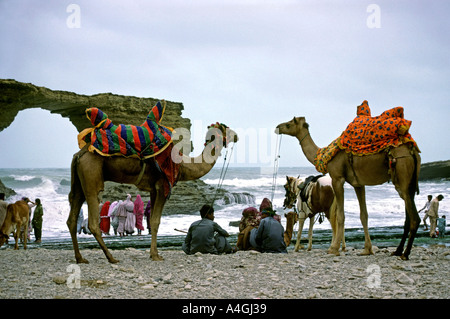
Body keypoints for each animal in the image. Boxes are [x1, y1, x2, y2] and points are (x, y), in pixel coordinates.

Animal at [67, 101, 239, 264]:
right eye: (225, 127)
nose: (236, 135)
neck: (183, 164)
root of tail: (79, 154)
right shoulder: (163, 185)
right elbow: (156, 221)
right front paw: (156, 255)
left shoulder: (154, 189)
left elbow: (152, 220)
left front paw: (153, 253)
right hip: (92, 175)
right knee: (93, 220)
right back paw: (111, 258)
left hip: (79, 181)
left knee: (72, 218)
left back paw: (80, 258)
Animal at [276, 101, 420, 262]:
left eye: (289, 124)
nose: (278, 127)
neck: (323, 154)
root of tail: (412, 152)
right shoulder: (359, 184)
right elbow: (364, 215)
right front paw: (367, 250)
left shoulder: (337, 179)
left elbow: (340, 216)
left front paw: (333, 249)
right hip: (409, 182)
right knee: (408, 213)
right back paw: (397, 251)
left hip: (402, 172)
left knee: (415, 218)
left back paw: (405, 253)